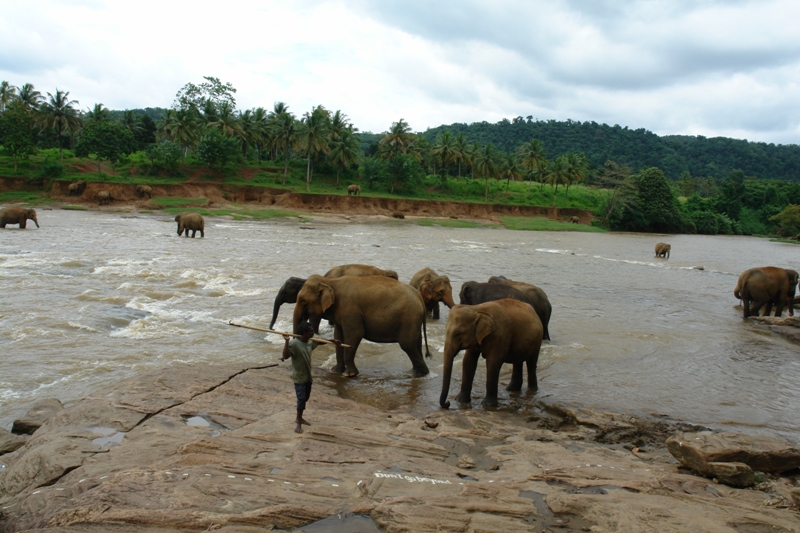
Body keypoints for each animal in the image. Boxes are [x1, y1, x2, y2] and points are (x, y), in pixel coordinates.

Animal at [292, 274, 428, 378]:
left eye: (303, 300)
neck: (330, 282)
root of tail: (419, 296)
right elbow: (338, 335)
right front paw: (335, 371)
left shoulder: (350, 310)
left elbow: (355, 334)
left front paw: (349, 374)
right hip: (414, 320)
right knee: (416, 344)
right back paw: (417, 373)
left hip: (409, 318)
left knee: (407, 345)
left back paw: (420, 374)